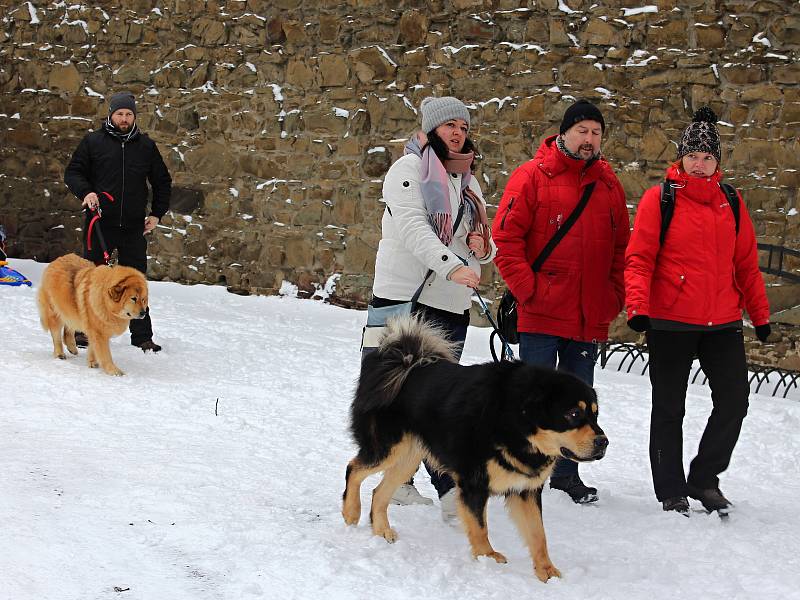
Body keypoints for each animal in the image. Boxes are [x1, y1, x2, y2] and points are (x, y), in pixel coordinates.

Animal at [340, 316, 608, 584]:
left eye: (595, 414)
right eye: (573, 414)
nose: (603, 442)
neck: (514, 421)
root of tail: (402, 360)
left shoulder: (526, 489)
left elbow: (538, 535)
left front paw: (546, 571)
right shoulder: (474, 483)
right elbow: (480, 527)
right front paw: (487, 558)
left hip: (408, 458)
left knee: (379, 491)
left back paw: (381, 530)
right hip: (388, 448)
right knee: (353, 468)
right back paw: (351, 512)